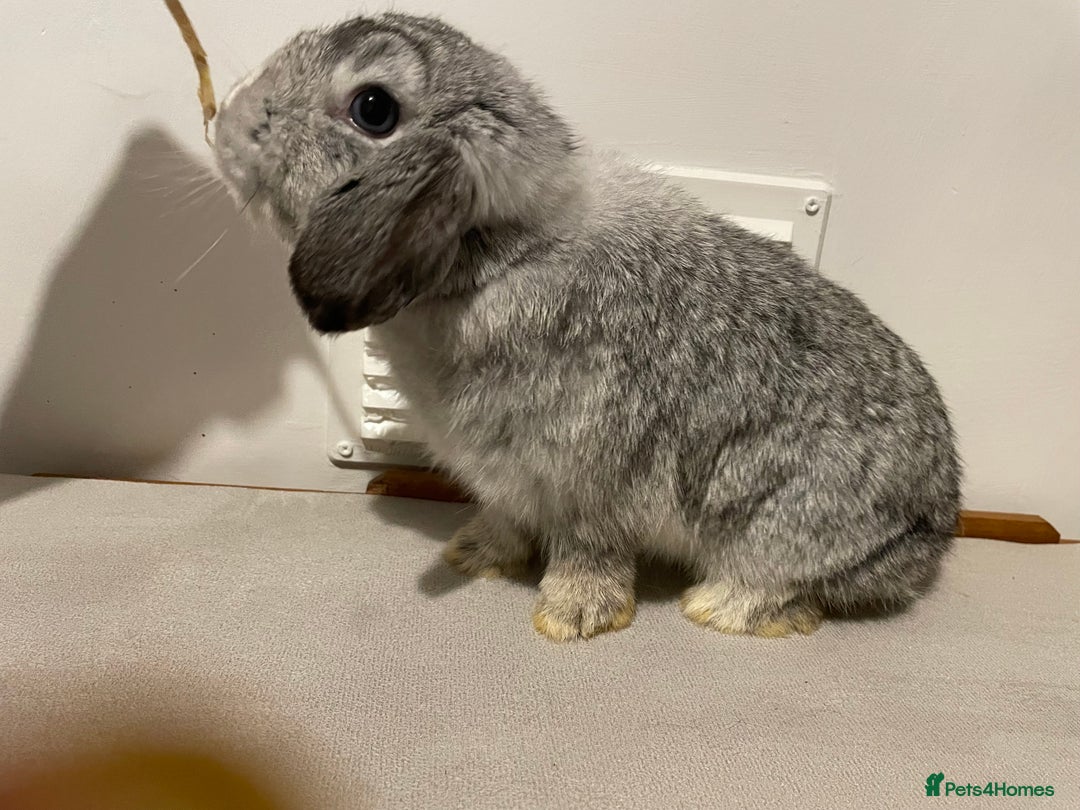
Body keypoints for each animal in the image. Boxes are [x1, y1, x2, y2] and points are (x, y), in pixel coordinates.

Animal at [212, 13, 961, 642]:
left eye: (373, 109)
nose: (227, 119)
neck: (500, 257)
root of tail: (930, 538)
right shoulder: (507, 478)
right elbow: (508, 520)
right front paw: (474, 557)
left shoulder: (589, 482)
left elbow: (587, 551)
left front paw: (570, 621)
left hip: (780, 520)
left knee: (781, 582)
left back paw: (715, 608)